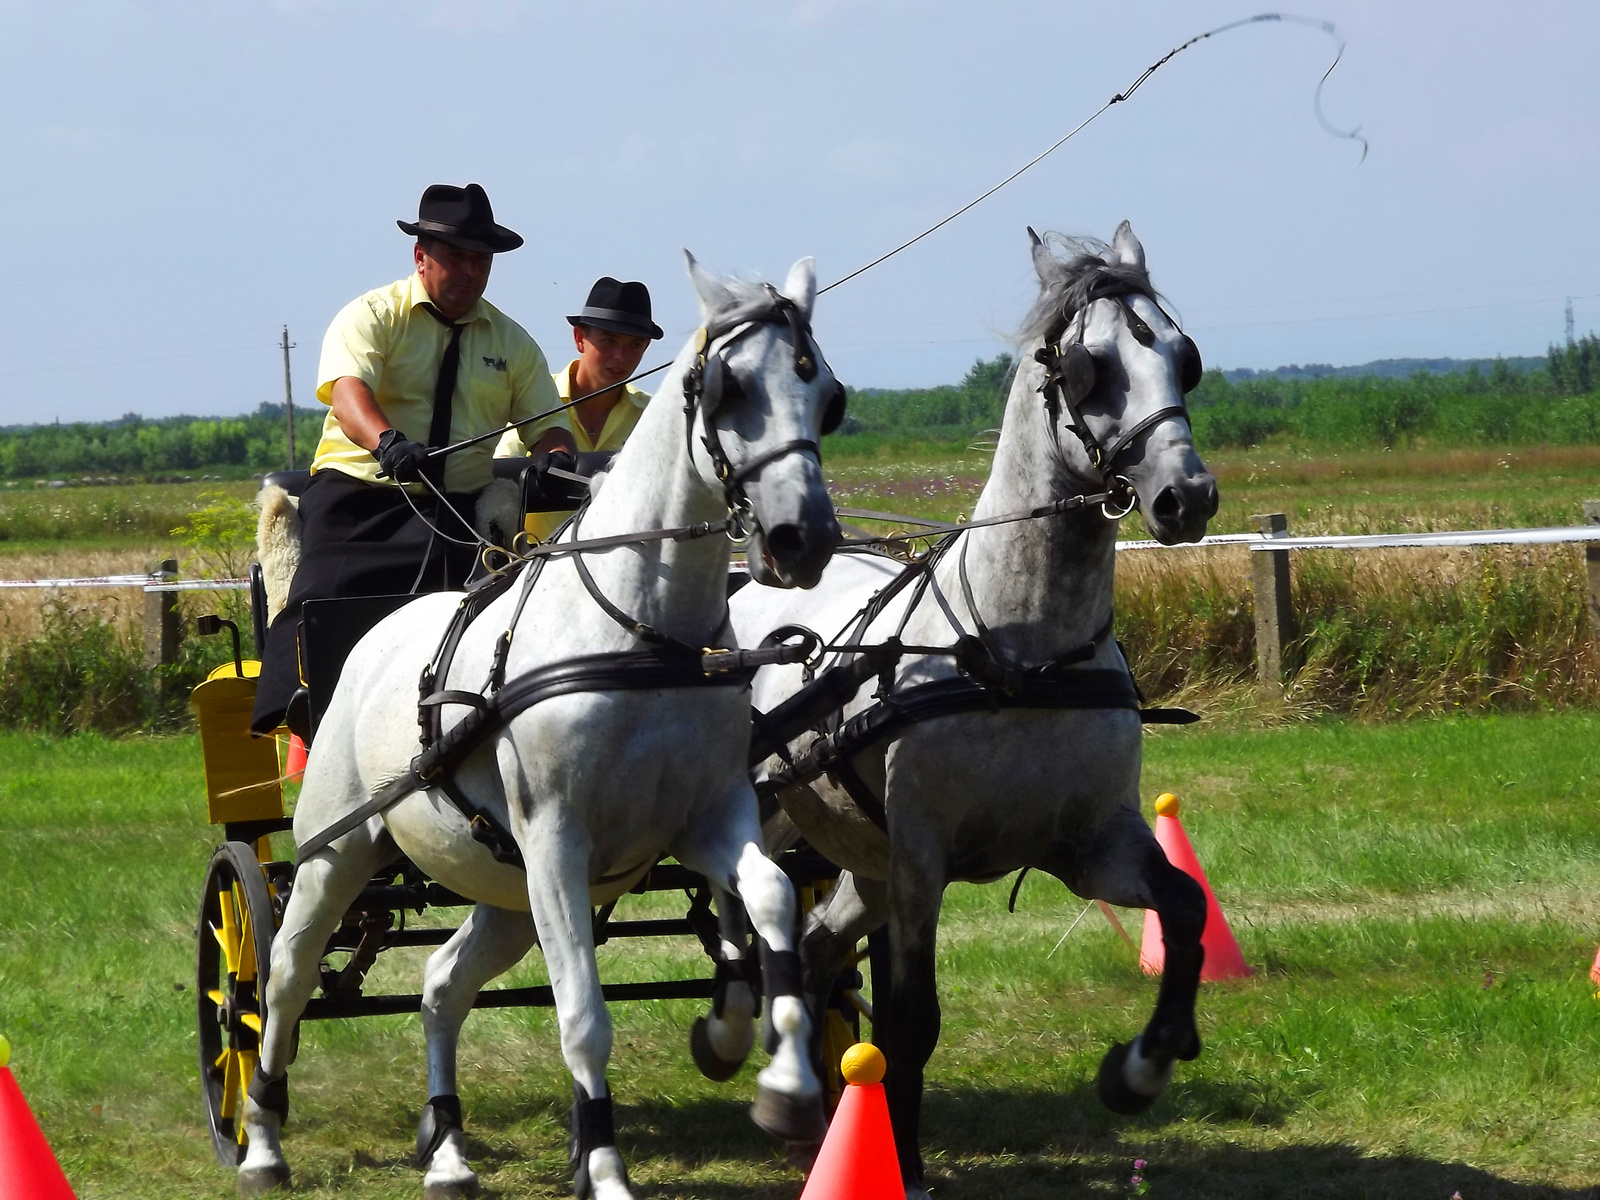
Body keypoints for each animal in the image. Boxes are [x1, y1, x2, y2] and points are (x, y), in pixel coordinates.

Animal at [233, 256, 851, 1200]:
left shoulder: (705, 820)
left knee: (442, 984)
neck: (641, 634)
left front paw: (773, 1074)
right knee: (284, 983)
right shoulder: (558, 840)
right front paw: (605, 1168)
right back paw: (263, 1138)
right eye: (731, 387)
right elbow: (584, 1018)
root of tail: (376, 634)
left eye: (829, 398)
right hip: (337, 856)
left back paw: (448, 1147)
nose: (802, 538)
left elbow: (773, 900)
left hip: (502, 891)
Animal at [720, 224, 1216, 1196]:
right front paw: (901, 1163)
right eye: (1090, 367)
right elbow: (913, 1019)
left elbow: (1182, 909)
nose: (1187, 497)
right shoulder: (923, 859)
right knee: (755, 930)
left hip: (859, 858)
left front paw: (1140, 1068)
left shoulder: (1091, 842)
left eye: (1186, 358)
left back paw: (806, 1104)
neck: (1023, 649)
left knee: (816, 946)